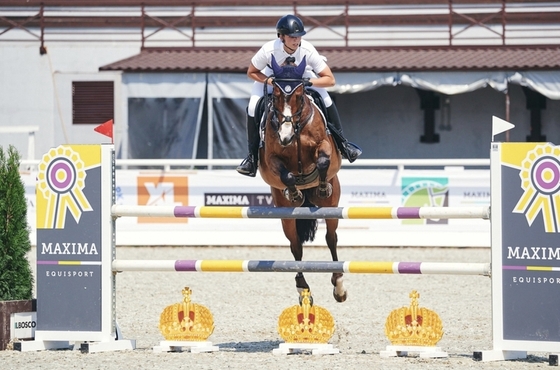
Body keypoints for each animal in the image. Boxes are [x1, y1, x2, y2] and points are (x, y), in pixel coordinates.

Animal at [258, 55, 346, 304]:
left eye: (299, 96)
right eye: (275, 97)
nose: (285, 137)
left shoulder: (324, 145)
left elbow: (323, 161)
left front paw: (322, 186)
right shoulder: (271, 158)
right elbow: (286, 173)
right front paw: (294, 191)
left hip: (332, 207)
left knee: (331, 238)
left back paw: (339, 286)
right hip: (285, 213)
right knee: (295, 246)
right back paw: (303, 289)